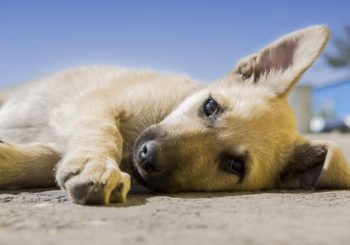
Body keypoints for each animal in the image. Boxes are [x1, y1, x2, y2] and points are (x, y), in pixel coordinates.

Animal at [0, 25, 350, 205]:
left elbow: (46, 158)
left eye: (235, 165)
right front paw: (96, 164)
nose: (147, 155)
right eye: (210, 107)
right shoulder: (92, 102)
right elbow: (104, 132)